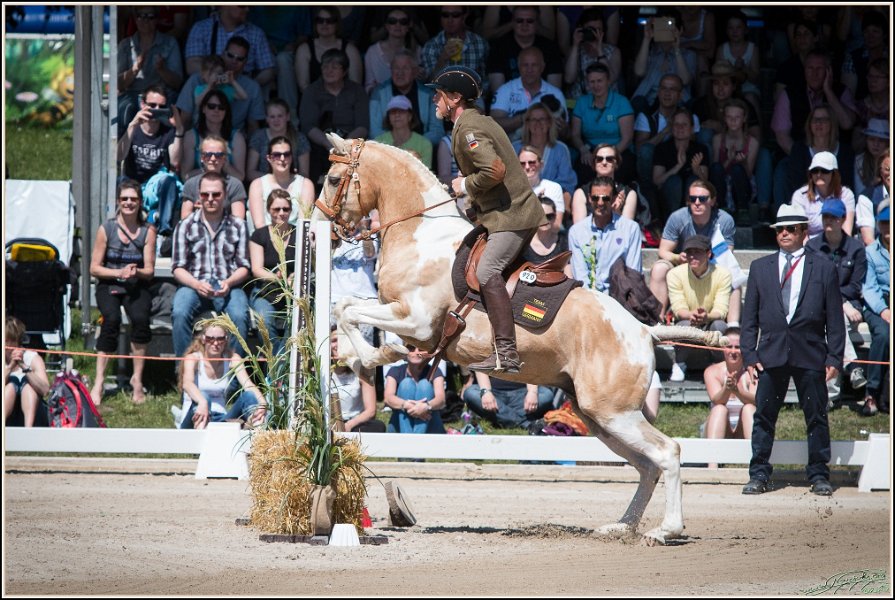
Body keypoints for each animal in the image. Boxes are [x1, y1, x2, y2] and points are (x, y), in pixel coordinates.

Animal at [316, 134, 725, 545]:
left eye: (334, 179)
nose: (324, 229)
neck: (421, 234)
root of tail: (644, 331)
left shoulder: (417, 320)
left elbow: (349, 313)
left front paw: (375, 355)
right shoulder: (399, 312)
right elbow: (346, 307)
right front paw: (370, 354)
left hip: (616, 413)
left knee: (666, 453)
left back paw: (665, 530)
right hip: (598, 417)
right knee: (646, 466)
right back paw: (621, 526)